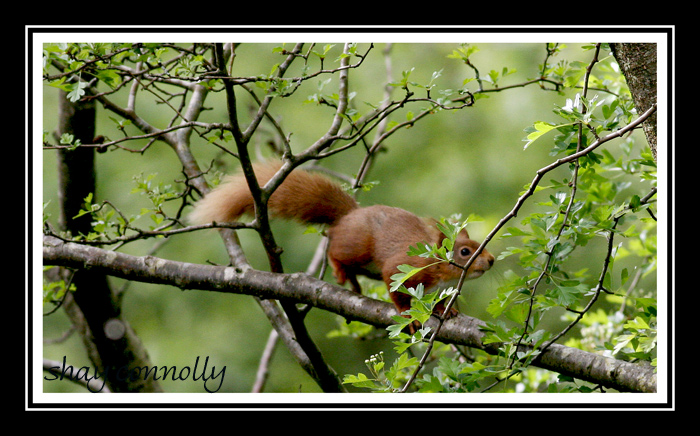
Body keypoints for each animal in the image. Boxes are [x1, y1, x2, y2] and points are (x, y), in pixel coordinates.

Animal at [191, 160, 494, 320]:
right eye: (465, 251)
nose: (491, 260)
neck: (439, 272)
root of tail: (350, 215)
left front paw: (446, 309)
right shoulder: (403, 266)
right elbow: (395, 288)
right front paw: (406, 313)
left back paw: (354, 284)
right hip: (358, 247)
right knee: (335, 248)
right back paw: (339, 270)